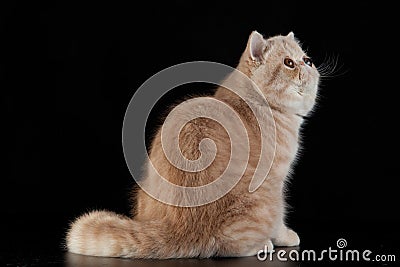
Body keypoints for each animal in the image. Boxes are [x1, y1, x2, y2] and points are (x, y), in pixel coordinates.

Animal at [67, 30, 320, 260]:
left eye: (305, 58)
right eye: (289, 63)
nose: (308, 64)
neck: (257, 102)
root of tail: (181, 230)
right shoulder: (277, 181)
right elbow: (279, 222)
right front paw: (285, 236)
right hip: (265, 199)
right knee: (233, 246)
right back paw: (262, 245)